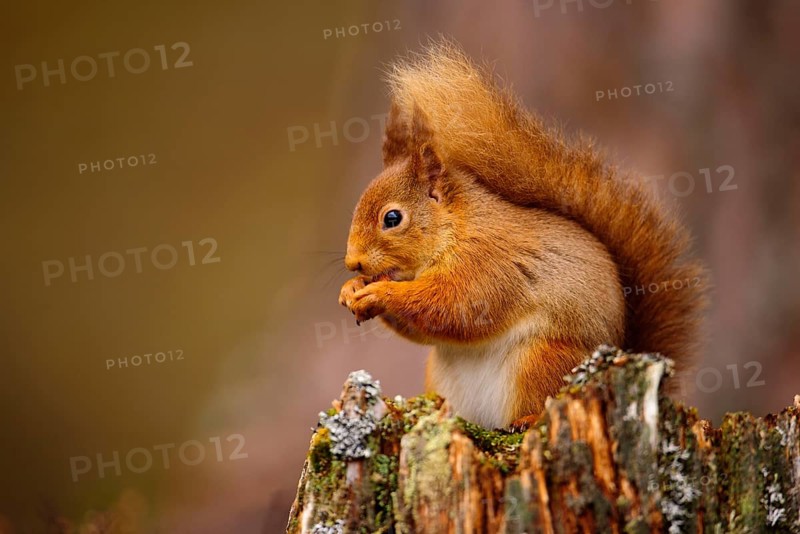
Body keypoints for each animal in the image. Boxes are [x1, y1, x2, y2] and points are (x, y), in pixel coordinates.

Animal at [338, 40, 706, 430]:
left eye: (392, 218)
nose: (352, 262)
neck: (455, 229)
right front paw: (351, 289)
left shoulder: (487, 263)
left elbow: (453, 307)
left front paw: (381, 292)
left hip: (541, 360)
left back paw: (527, 419)